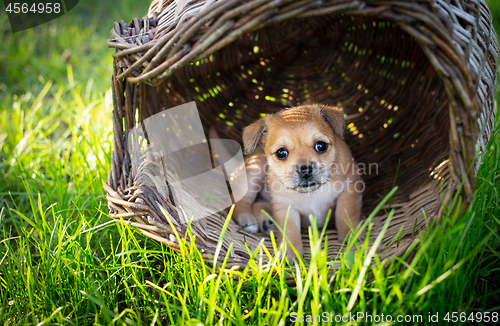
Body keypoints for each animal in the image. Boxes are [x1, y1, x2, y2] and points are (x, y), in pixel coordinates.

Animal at [232, 104, 362, 260]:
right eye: (281, 153)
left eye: (321, 146)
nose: (305, 170)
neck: (311, 194)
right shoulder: (285, 207)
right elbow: (289, 231)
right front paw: (289, 253)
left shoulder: (349, 187)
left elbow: (346, 212)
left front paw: (351, 235)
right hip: (254, 173)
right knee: (240, 201)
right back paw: (248, 220)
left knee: (257, 204)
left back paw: (267, 223)